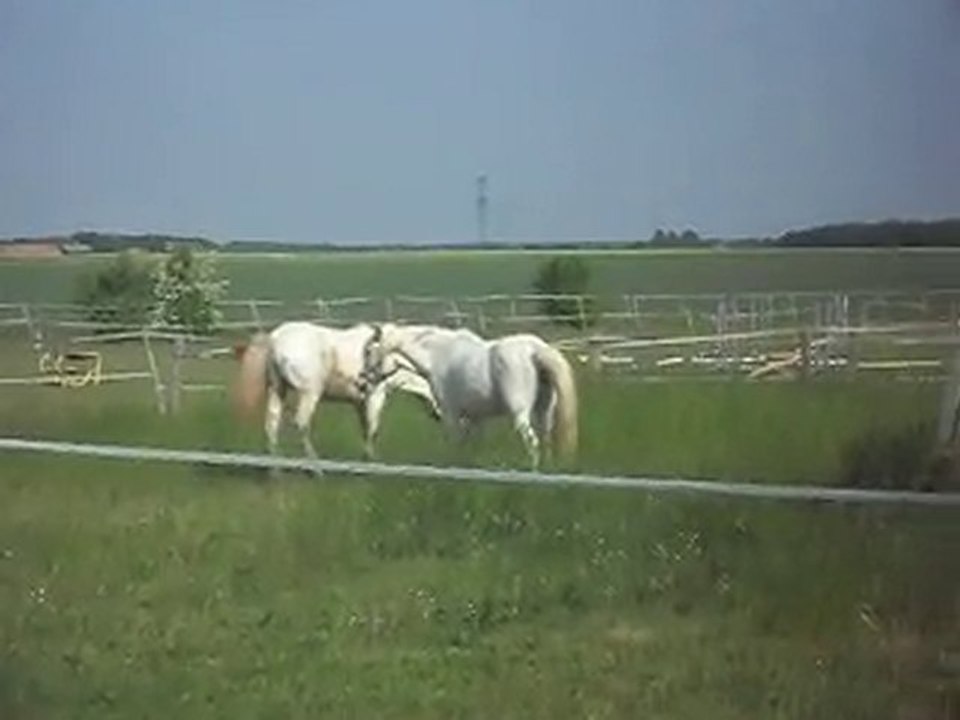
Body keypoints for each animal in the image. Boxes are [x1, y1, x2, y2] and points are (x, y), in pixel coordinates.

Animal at [233, 321, 442, 469]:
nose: (439, 416)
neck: (389, 356)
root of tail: (275, 339)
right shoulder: (376, 396)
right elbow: (373, 429)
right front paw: (371, 461)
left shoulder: (360, 402)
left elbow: (366, 429)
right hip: (309, 393)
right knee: (301, 424)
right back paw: (316, 468)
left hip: (277, 390)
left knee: (271, 424)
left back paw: (275, 470)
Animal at [361, 323, 578, 470]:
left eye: (369, 351)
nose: (362, 381)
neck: (438, 355)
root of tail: (534, 349)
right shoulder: (475, 418)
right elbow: (474, 447)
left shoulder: (451, 415)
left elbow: (456, 445)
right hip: (544, 412)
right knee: (546, 440)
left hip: (520, 414)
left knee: (533, 443)